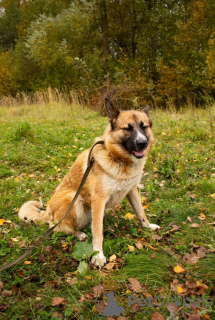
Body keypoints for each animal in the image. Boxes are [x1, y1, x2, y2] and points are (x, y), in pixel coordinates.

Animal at [18, 99, 160, 266]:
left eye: (144, 127)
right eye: (127, 128)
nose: (142, 143)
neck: (118, 159)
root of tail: (47, 212)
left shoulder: (131, 191)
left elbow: (140, 212)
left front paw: (148, 226)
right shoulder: (99, 198)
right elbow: (98, 232)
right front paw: (98, 255)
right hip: (73, 199)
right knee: (56, 226)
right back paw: (79, 234)